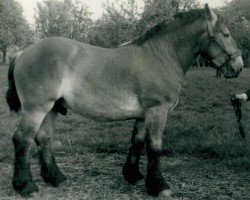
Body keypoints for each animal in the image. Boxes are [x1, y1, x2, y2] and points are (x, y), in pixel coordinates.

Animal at [6, 3, 243, 198]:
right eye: (226, 34)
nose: (238, 66)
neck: (160, 56)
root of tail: (22, 52)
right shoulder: (157, 111)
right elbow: (154, 146)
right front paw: (158, 185)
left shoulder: (144, 115)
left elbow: (137, 141)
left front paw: (132, 175)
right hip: (36, 109)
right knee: (22, 140)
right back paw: (26, 185)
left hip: (51, 109)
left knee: (43, 139)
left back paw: (56, 178)